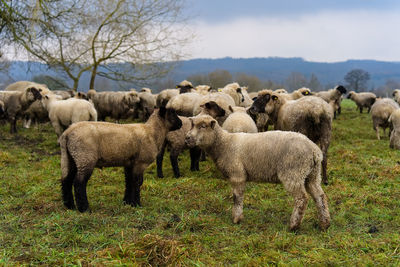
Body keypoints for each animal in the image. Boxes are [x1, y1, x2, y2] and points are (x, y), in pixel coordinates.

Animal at [184, 116, 332, 231]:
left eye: (203, 126)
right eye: (192, 125)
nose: (187, 138)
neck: (224, 143)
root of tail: (314, 150)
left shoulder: (237, 175)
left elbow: (237, 198)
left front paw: (236, 218)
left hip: (293, 172)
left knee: (302, 198)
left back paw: (294, 225)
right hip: (312, 175)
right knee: (320, 196)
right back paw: (324, 224)